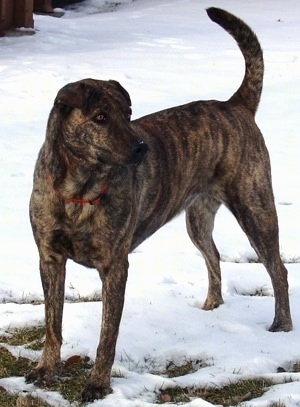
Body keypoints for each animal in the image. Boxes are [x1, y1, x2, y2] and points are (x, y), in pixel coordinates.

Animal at [26, 7, 292, 404]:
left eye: (128, 112)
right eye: (101, 117)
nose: (141, 147)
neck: (80, 189)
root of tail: (235, 105)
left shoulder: (115, 267)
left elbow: (107, 336)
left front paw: (98, 384)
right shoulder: (50, 259)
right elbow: (52, 323)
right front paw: (45, 369)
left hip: (255, 207)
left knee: (278, 269)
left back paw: (282, 325)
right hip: (198, 218)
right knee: (213, 256)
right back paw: (212, 306)